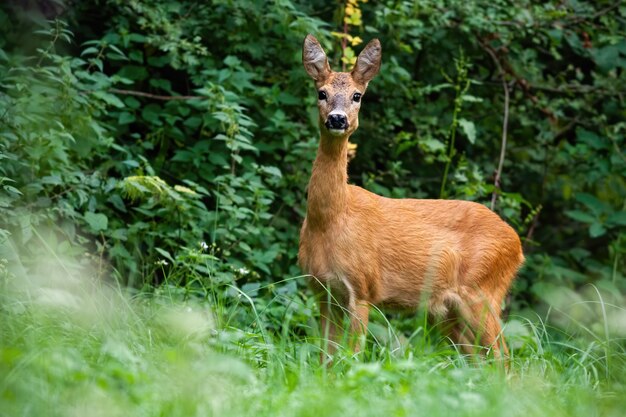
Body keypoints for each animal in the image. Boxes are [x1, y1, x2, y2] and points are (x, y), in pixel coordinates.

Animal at [296, 35, 520, 360]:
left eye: (357, 96)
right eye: (321, 93)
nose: (337, 119)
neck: (332, 220)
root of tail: (517, 244)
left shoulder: (363, 289)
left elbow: (352, 357)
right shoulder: (323, 290)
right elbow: (326, 358)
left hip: (482, 293)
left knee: (504, 358)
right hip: (450, 313)